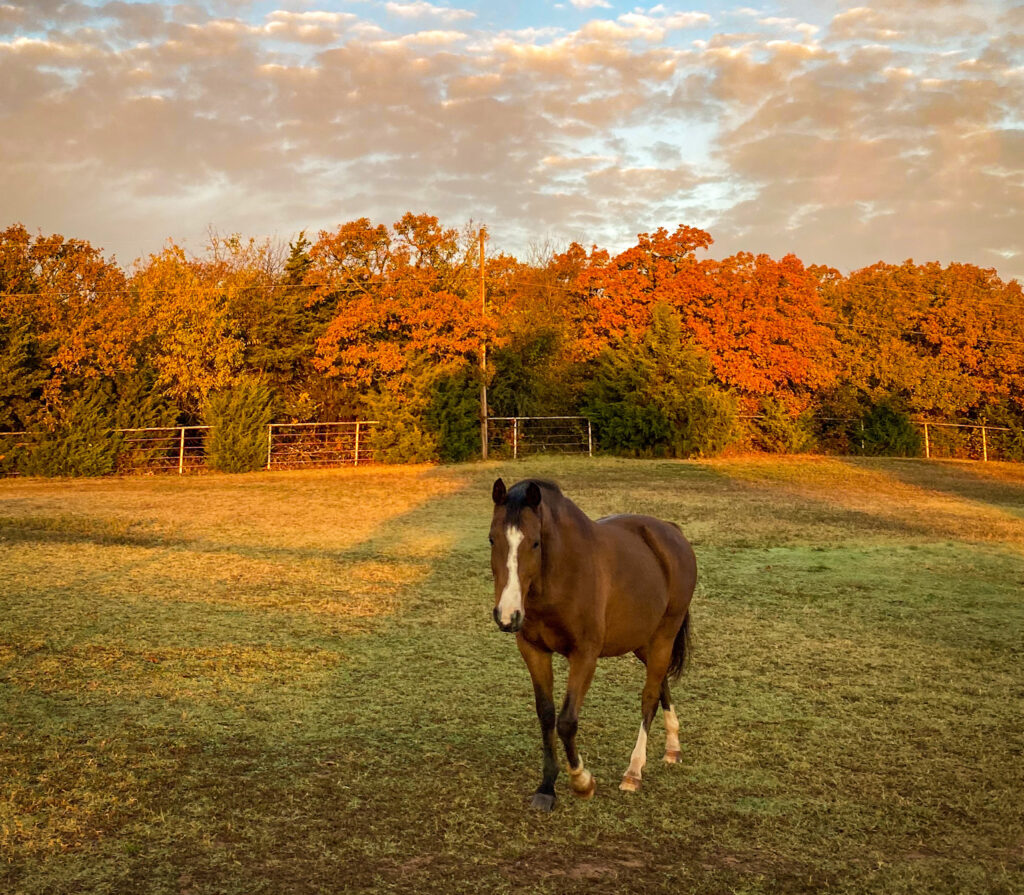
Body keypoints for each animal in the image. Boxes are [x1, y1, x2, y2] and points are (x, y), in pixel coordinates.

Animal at [489, 477, 697, 811]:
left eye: (534, 543)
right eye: (492, 540)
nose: (507, 615)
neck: (560, 576)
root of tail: (670, 531)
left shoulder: (584, 655)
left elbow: (566, 721)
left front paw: (582, 782)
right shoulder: (533, 651)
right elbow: (546, 715)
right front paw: (547, 787)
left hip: (665, 635)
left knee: (649, 696)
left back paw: (634, 771)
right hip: (643, 641)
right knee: (661, 683)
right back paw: (673, 746)